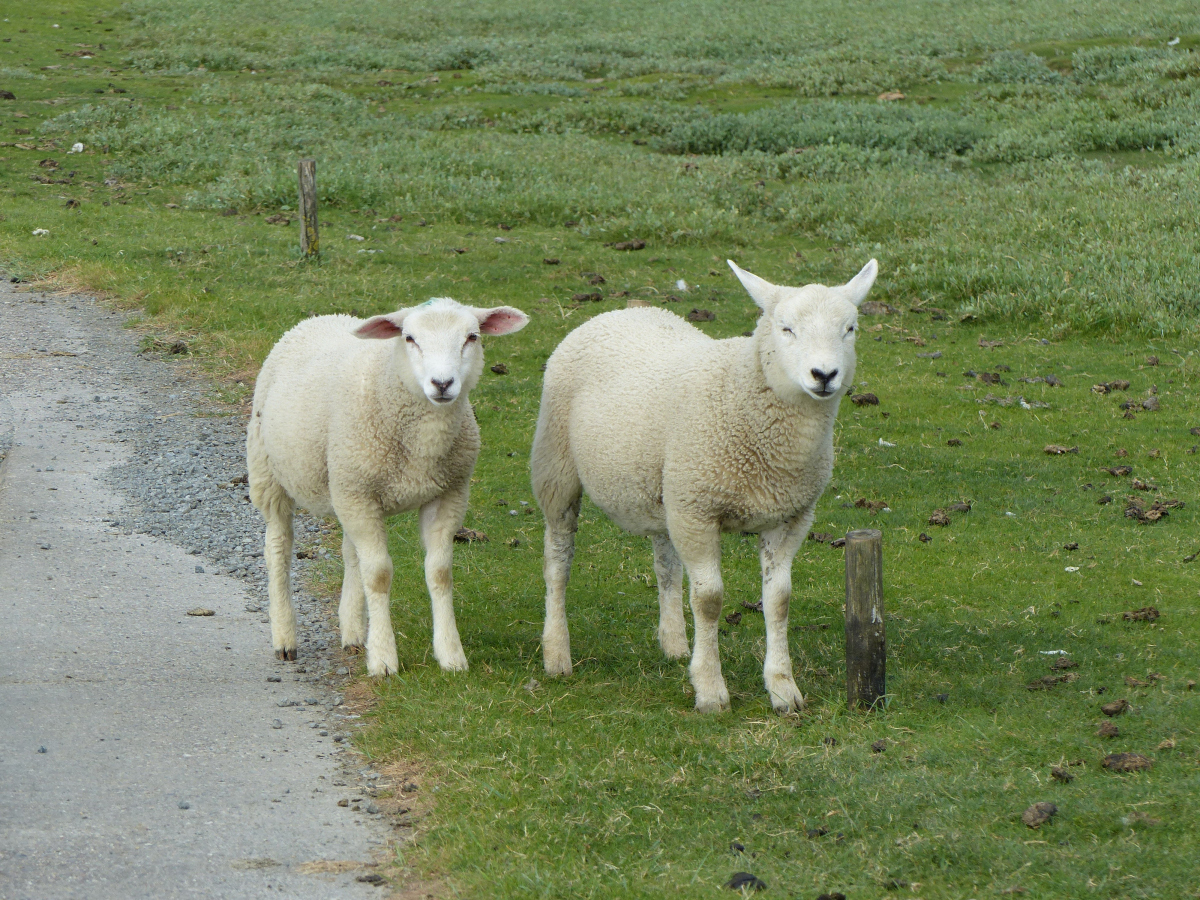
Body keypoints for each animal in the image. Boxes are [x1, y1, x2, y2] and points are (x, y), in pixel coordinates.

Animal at [248, 301, 530, 676]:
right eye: (409, 338)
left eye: (472, 337)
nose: (442, 383)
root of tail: (322, 317)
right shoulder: (360, 494)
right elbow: (379, 574)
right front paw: (383, 659)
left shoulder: (448, 494)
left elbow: (440, 573)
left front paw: (451, 655)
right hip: (271, 472)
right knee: (278, 547)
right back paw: (285, 638)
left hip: (345, 486)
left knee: (351, 552)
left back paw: (353, 633)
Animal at [530, 259, 878, 710]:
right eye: (785, 328)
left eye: (849, 328)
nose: (824, 375)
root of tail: (619, 312)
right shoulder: (698, 510)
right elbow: (709, 600)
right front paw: (711, 689)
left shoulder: (789, 516)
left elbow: (779, 601)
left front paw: (783, 688)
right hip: (557, 468)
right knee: (558, 559)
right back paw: (557, 652)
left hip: (667, 488)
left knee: (665, 563)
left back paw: (675, 642)